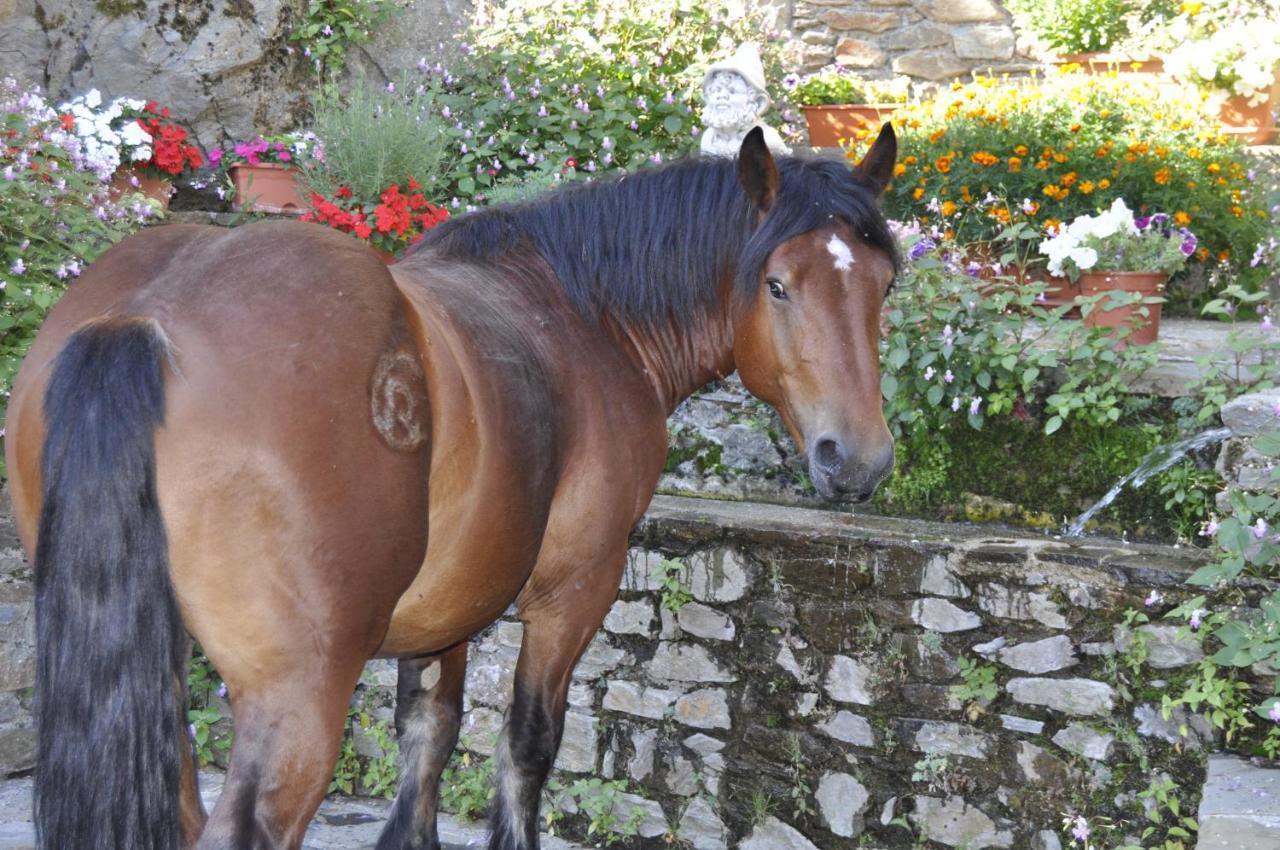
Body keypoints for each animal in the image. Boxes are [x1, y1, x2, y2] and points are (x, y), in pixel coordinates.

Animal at [2, 126, 901, 850]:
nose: (856, 459)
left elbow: (427, 737)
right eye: (777, 284)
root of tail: (146, 317)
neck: (584, 315)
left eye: (884, 283)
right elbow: (526, 744)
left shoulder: (444, 612)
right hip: (297, 697)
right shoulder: (573, 591)